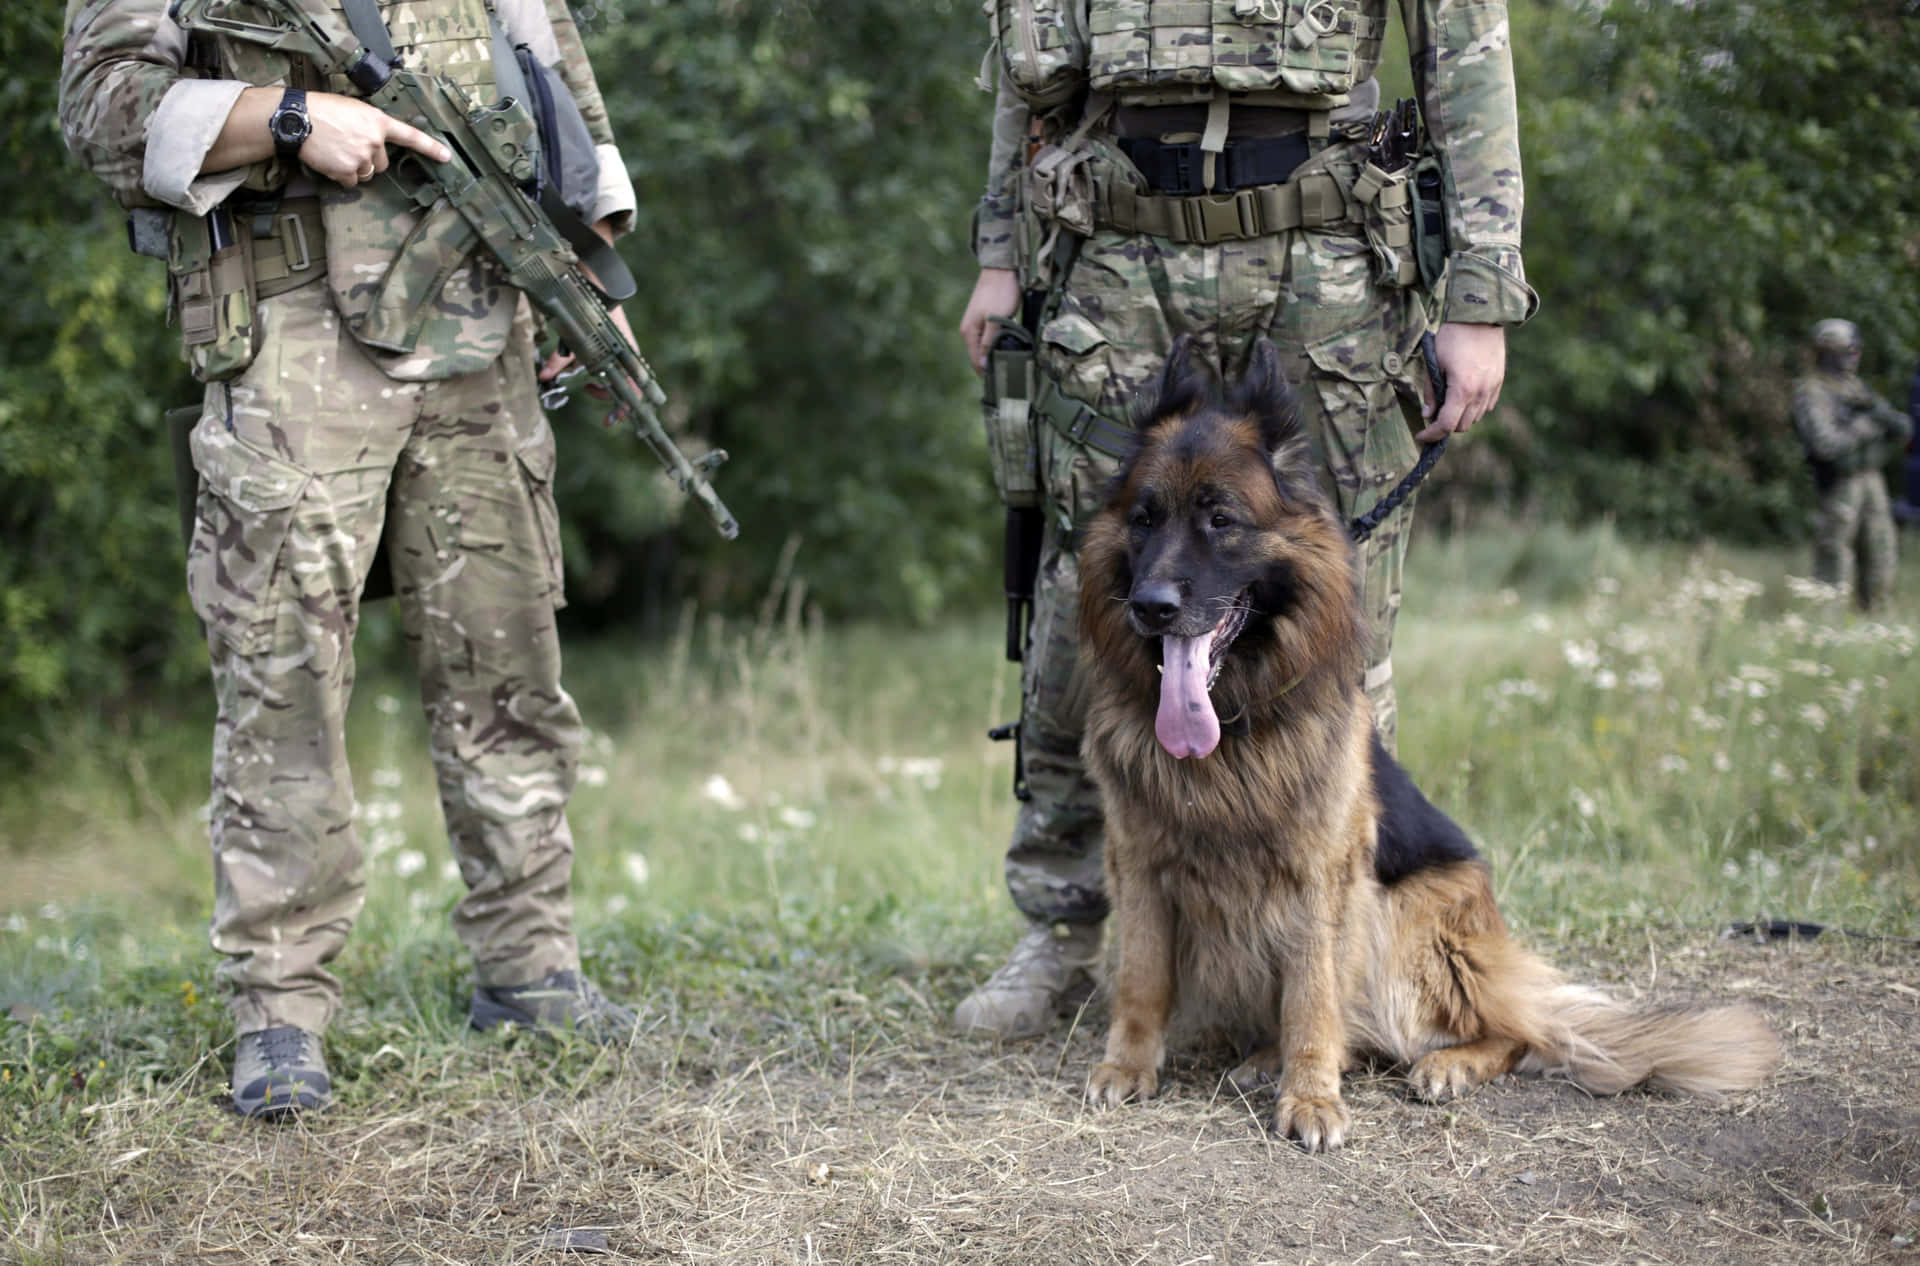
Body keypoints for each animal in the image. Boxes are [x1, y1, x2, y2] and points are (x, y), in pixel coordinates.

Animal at [1075, 336, 1774, 1152]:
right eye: (1144, 520)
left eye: (1220, 519)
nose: (1151, 607)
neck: (1232, 729)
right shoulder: (1141, 862)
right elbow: (1140, 979)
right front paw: (1128, 1066)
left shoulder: (1322, 881)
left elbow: (1312, 995)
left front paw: (1311, 1097)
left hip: (1408, 924)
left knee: (1513, 1034)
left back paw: (1444, 1065)